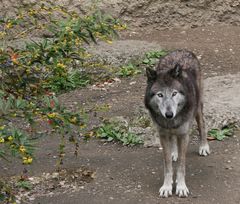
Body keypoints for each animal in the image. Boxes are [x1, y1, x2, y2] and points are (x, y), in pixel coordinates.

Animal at [144, 48, 210, 197]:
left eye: (174, 93)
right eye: (160, 95)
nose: (169, 115)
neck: (171, 121)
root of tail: (181, 50)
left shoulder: (184, 135)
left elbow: (181, 165)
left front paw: (181, 187)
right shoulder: (162, 135)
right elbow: (168, 165)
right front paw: (167, 187)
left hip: (198, 109)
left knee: (202, 125)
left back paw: (204, 146)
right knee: (173, 139)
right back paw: (174, 152)